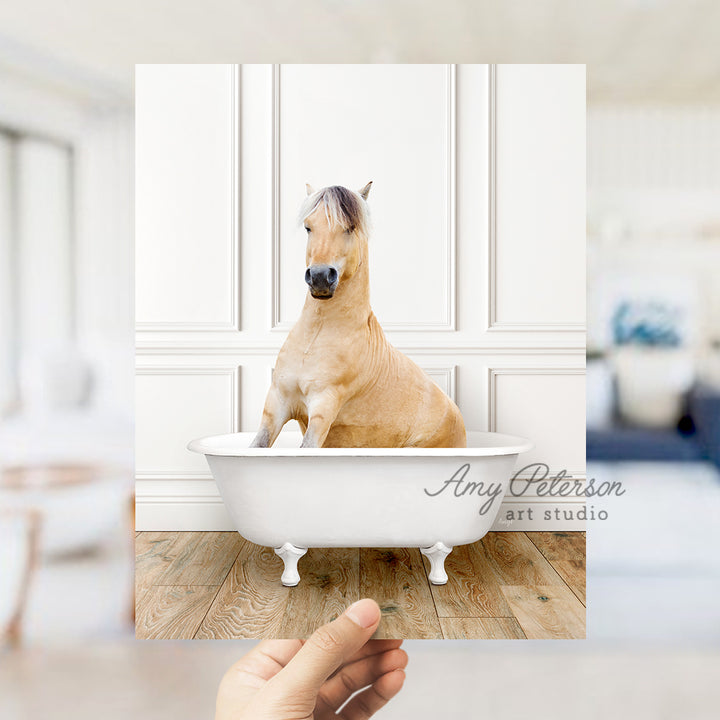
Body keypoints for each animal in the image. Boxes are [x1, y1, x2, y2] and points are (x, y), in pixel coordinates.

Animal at [252, 183, 466, 448]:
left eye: (350, 227)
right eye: (308, 227)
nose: (320, 277)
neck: (315, 337)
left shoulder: (323, 408)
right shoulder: (277, 404)